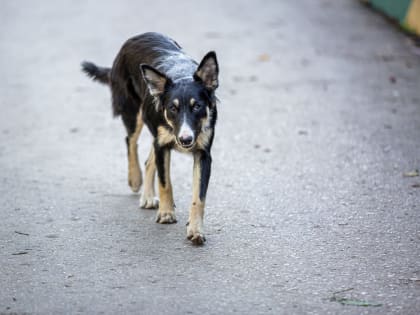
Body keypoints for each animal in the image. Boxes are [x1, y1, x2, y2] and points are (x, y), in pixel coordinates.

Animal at [82, 32, 220, 246]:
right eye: (172, 108)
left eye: (197, 106)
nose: (186, 140)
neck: (181, 74)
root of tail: (136, 37)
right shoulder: (163, 145)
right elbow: (165, 183)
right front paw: (166, 213)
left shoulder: (202, 154)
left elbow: (199, 197)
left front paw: (196, 230)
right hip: (133, 112)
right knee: (130, 141)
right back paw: (135, 179)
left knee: (148, 159)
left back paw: (147, 196)